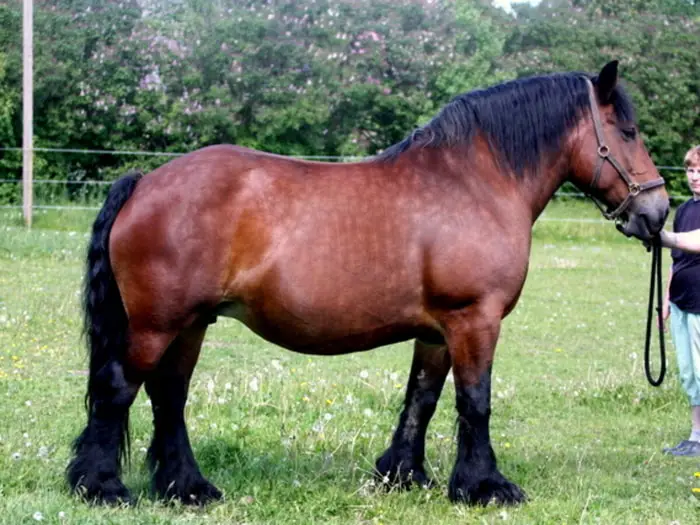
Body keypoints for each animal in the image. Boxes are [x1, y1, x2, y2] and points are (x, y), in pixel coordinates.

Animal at [67, 61, 669, 506]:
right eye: (629, 132)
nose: (658, 211)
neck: (475, 182)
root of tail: (146, 181)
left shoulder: (437, 330)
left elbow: (421, 398)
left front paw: (403, 475)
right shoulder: (474, 319)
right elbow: (475, 402)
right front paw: (485, 486)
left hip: (191, 323)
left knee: (169, 395)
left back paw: (187, 488)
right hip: (157, 324)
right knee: (119, 388)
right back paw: (103, 487)